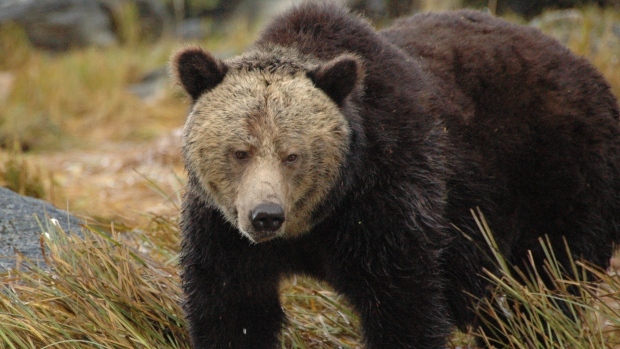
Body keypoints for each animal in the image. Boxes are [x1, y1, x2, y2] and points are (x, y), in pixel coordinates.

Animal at [171, 3, 620, 348]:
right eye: (240, 151)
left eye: (292, 155)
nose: (266, 216)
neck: (316, 222)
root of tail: (588, 70)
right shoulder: (223, 231)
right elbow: (232, 309)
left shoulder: (390, 199)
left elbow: (405, 305)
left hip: (556, 174)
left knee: (544, 285)